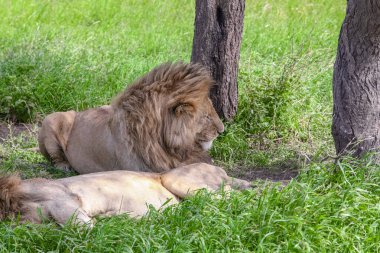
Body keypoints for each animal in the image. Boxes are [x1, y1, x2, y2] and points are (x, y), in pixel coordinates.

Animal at [38, 62, 223, 175]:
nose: (222, 131)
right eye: (206, 117)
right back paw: (64, 166)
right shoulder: (149, 170)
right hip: (54, 118)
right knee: (54, 157)